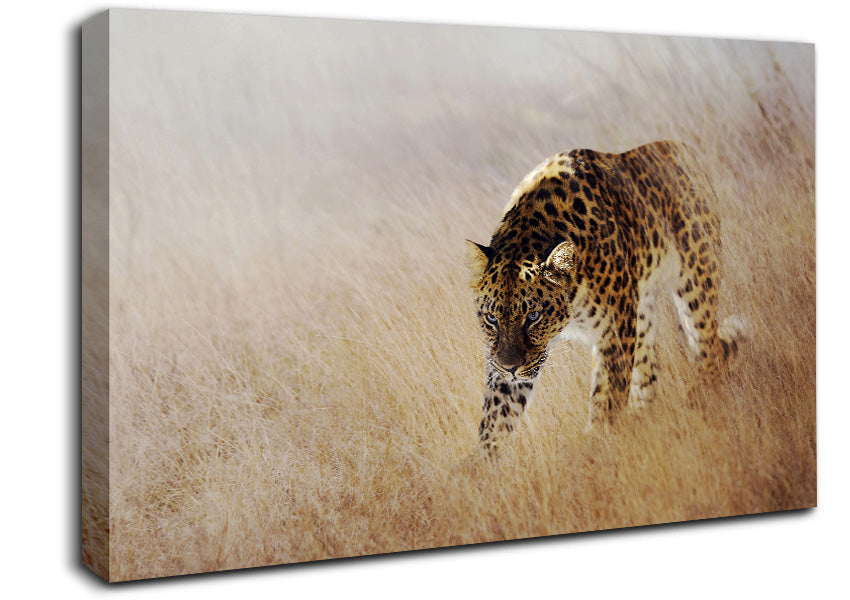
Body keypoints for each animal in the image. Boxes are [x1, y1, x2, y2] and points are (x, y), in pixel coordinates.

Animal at [466, 140, 745, 454]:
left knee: (708, 351)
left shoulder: (614, 335)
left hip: (695, 281)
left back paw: (703, 406)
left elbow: (607, 398)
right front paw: (484, 463)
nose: (511, 367)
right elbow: (496, 416)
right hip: (641, 312)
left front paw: (599, 448)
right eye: (491, 318)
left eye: (533, 316)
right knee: (648, 372)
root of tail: (678, 147)